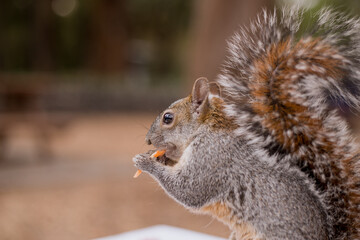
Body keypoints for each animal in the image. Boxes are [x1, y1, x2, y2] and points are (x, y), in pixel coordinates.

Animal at [133, 7, 360, 240]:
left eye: (167, 118)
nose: (148, 140)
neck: (204, 131)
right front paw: (160, 157)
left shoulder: (213, 159)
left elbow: (189, 189)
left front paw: (145, 161)